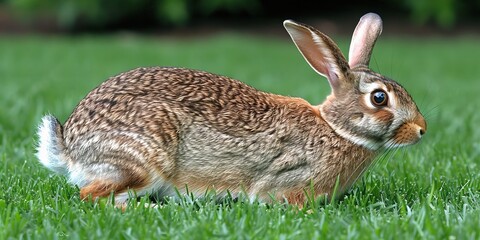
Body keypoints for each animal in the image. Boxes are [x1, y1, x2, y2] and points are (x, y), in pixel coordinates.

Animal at [36, 13, 428, 206]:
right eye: (379, 99)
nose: (422, 129)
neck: (336, 128)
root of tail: (69, 147)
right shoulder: (288, 178)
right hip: (143, 159)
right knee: (91, 196)